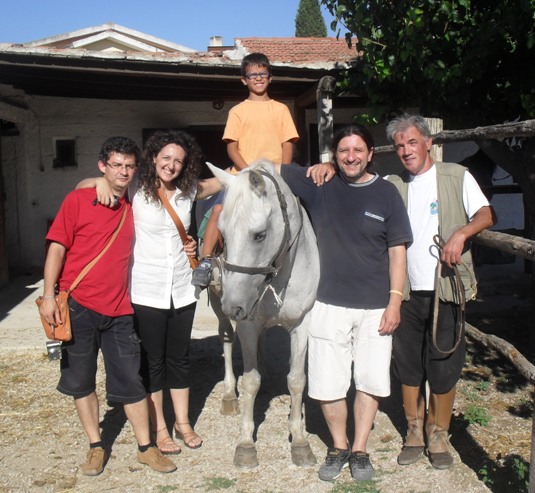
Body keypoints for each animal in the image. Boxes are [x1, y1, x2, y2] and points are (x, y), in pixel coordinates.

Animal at [207, 160, 320, 468]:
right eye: (223, 234)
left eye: (259, 235)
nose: (234, 306)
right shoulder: (247, 324)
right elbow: (250, 381)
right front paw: (246, 443)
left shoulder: (302, 324)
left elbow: (297, 380)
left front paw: (300, 440)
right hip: (218, 305)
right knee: (226, 340)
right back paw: (229, 395)